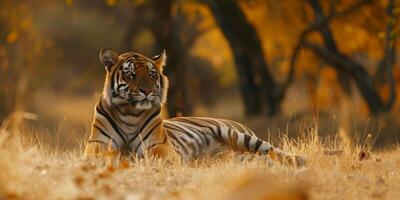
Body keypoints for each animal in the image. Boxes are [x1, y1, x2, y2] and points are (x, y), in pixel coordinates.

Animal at [83, 48, 304, 166]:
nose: (147, 91)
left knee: (273, 150)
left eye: (152, 74)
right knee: (260, 159)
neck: (129, 113)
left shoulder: (160, 150)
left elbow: (152, 159)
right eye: (130, 74)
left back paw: (300, 161)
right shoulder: (97, 148)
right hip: (233, 157)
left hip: (238, 135)